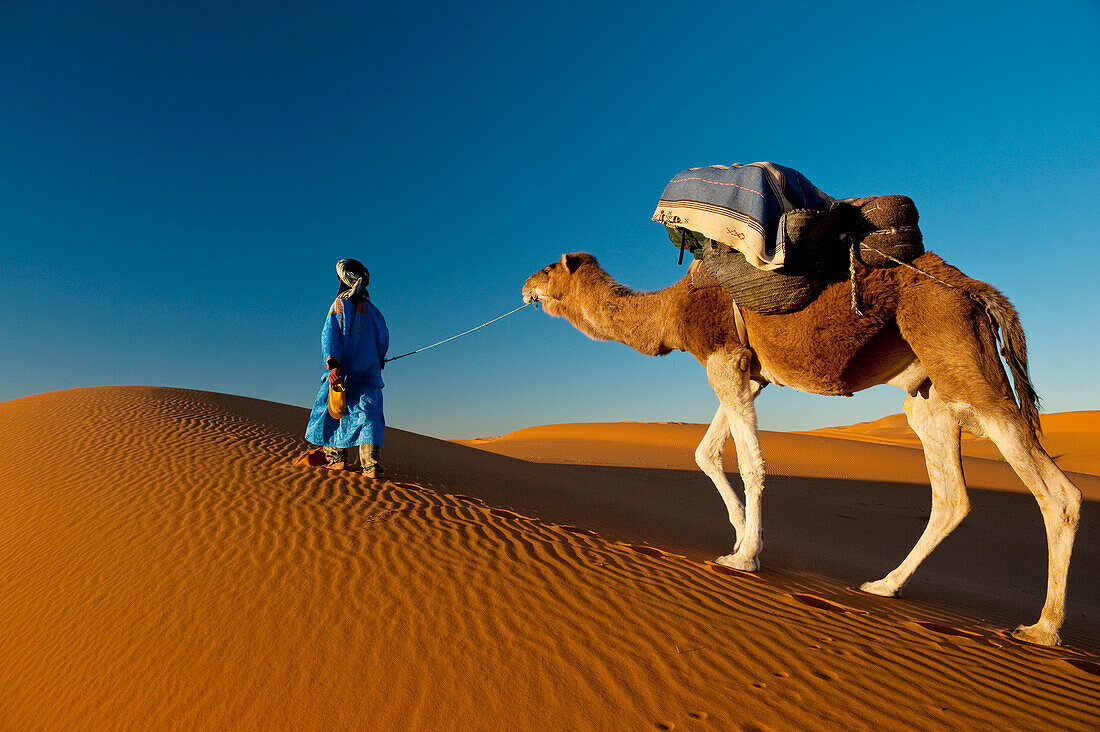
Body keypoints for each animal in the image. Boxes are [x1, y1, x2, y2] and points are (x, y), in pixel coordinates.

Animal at [523, 250, 1082, 647]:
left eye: (549, 266)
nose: (526, 287)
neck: (673, 310)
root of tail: (978, 291)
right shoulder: (750, 372)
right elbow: (706, 453)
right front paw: (742, 534)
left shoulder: (723, 355)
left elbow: (752, 462)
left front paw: (744, 557)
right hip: (932, 395)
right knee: (952, 496)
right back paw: (884, 586)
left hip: (965, 364)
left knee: (1057, 494)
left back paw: (1043, 629)